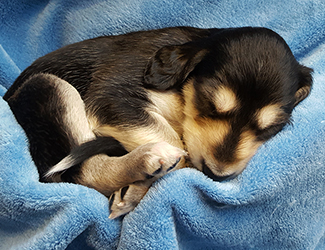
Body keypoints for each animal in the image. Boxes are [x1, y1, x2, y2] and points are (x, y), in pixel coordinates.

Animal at [3, 26, 312, 219]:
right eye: (209, 104)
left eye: (270, 128)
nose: (217, 174)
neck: (182, 91)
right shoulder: (113, 97)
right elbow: (177, 147)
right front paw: (142, 183)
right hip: (50, 88)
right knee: (82, 171)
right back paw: (147, 160)